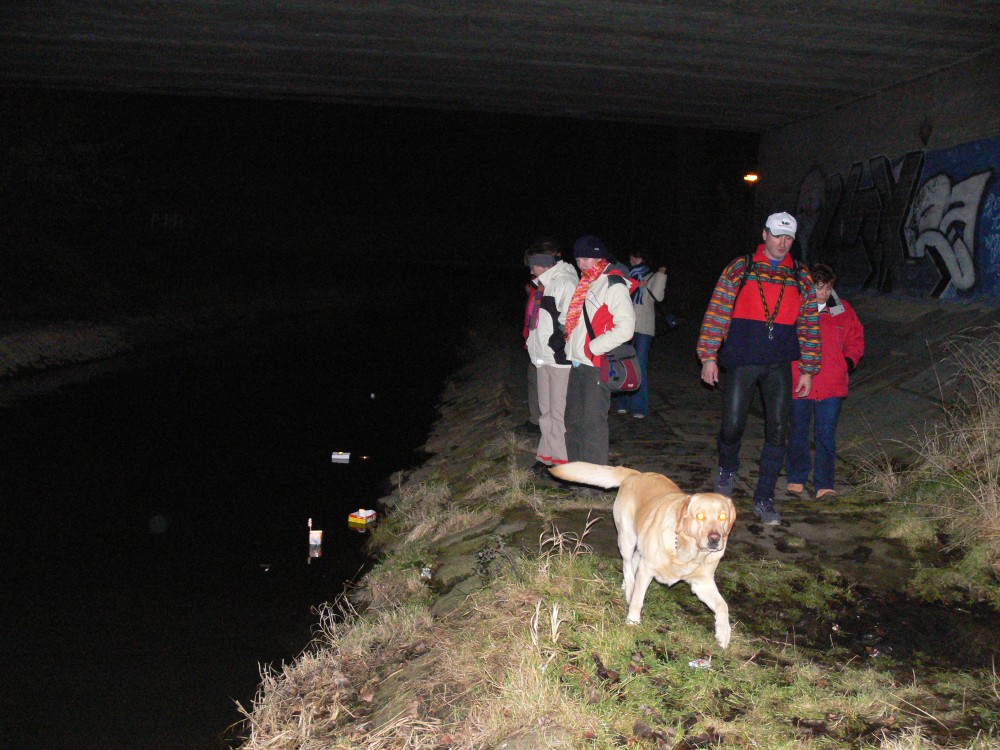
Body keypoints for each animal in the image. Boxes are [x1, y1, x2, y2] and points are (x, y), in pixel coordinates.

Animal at [550, 462, 737, 648]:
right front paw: (632, 620)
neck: (685, 551)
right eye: (700, 516)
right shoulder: (647, 570)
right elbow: (638, 599)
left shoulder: (701, 584)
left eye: (722, 517)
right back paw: (629, 588)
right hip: (627, 537)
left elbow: (723, 605)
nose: (715, 539)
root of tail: (637, 474)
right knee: (627, 564)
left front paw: (723, 633)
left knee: (633, 562)